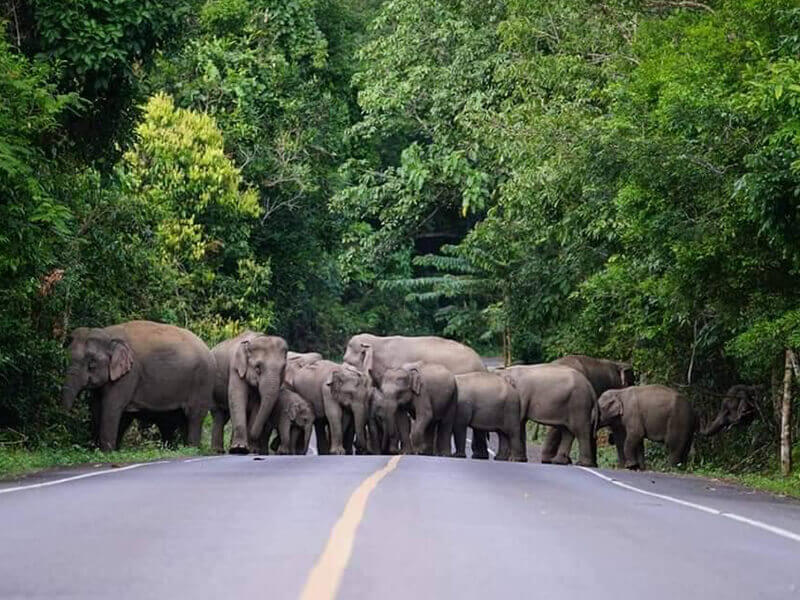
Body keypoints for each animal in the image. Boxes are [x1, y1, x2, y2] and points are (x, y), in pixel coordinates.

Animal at [62, 318, 214, 450]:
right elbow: (96, 408)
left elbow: (111, 408)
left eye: (91, 364)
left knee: (193, 416)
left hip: (202, 383)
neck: (108, 334)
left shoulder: (129, 375)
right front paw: (95, 450)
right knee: (174, 421)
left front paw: (106, 452)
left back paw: (191, 449)